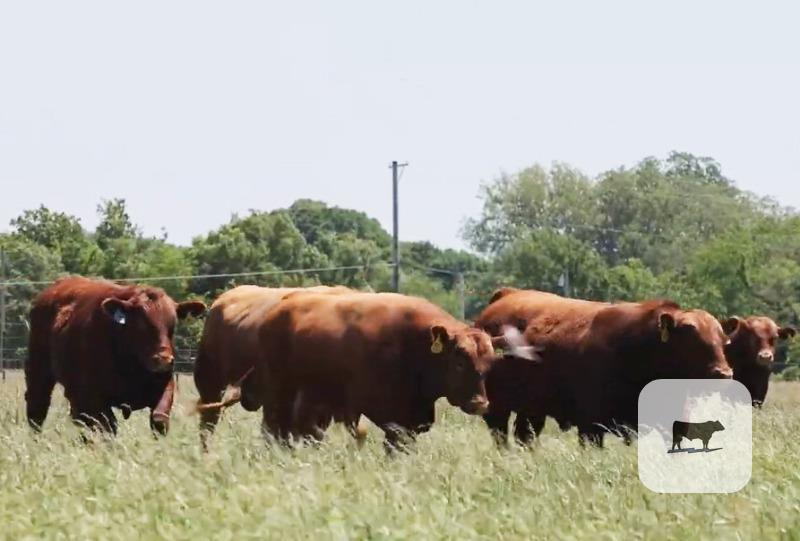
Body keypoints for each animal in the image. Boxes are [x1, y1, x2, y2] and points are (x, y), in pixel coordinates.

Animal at [25, 276, 206, 436]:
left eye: (173, 324)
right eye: (140, 324)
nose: (163, 360)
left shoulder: (165, 385)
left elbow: (159, 420)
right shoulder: (95, 397)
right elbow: (108, 427)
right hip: (39, 372)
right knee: (37, 410)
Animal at [250, 291, 537, 453]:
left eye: (489, 364)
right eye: (459, 362)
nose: (480, 403)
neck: (413, 345)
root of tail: (279, 308)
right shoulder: (387, 415)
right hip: (279, 393)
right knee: (274, 429)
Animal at [475, 288, 733, 448]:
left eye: (724, 342)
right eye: (693, 342)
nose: (723, 373)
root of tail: (505, 295)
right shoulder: (591, 427)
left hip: (531, 410)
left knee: (525, 435)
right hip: (497, 408)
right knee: (502, 435)